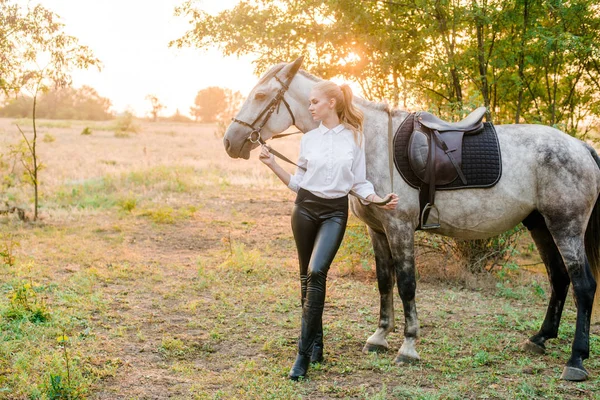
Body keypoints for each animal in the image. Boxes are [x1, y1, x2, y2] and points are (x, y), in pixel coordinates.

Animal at [221, 56, 600, 382]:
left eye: (260, 95)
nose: (230, 142)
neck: (369, 141)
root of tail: (581, 146)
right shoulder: (377, 230)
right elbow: (383, 281)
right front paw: (379, 336)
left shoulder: (399, 227)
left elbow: (406, 284)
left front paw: (408, 346)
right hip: (540, 224)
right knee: (558, 278)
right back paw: (539, 338)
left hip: (565, 226)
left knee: (583, 285)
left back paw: (575, 360)